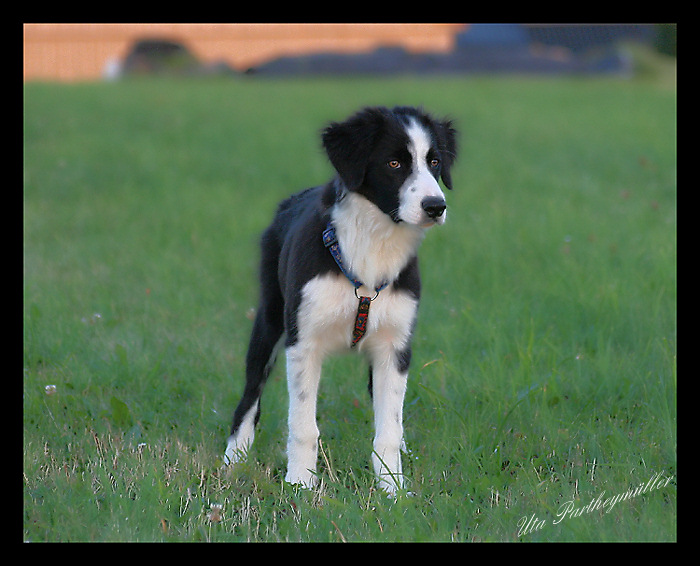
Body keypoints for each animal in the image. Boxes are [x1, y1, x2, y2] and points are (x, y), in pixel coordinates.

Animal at [221, 106, 456, 496]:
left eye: (434, 161)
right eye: (394, 163)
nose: (436, 207)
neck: (375, 244)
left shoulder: (395, 346)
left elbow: (389, 427)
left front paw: (393, 489)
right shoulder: (303, 341)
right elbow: (303, 424)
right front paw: (300, 483)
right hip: (270, 318)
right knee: (250, 394)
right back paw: (233, 460)